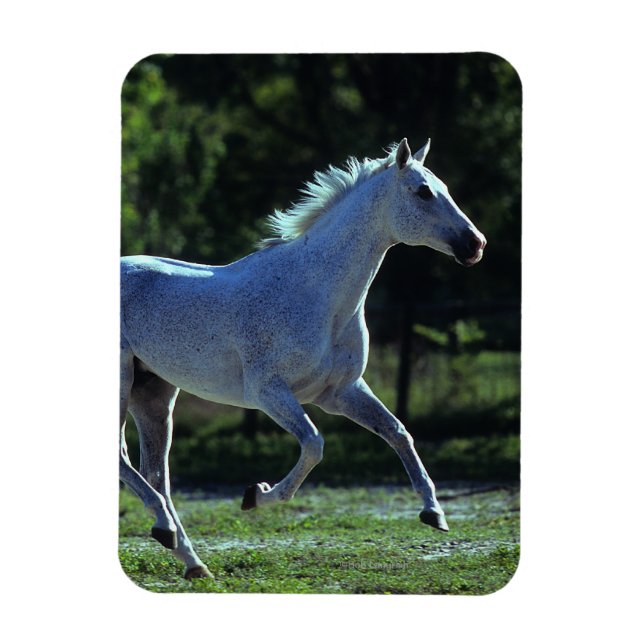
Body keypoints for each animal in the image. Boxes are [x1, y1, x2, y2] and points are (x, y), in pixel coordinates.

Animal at [120, 138, 487, 579]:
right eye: (423, 192)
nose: (475, 245)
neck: (316, 293)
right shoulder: (269, 393)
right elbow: (314, 444)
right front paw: (255, 496)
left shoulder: (340, 392)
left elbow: (398, 432)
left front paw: (434, 514)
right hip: (124, 384)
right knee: (129, 464)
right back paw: (167, 531)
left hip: (154, 396)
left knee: (154, 473)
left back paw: (189, 557)